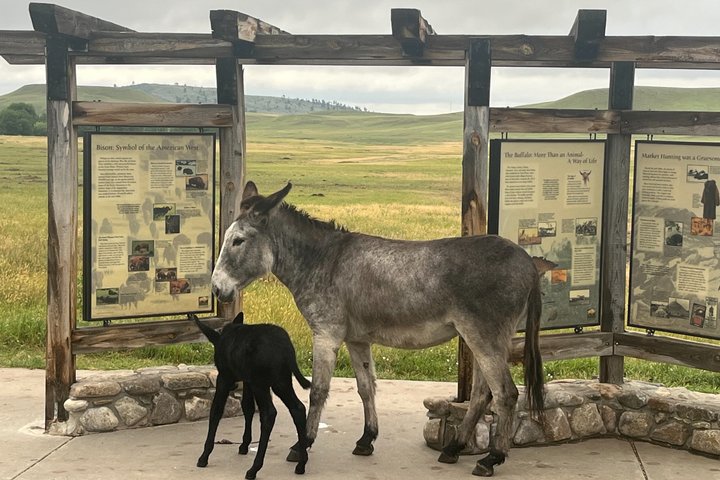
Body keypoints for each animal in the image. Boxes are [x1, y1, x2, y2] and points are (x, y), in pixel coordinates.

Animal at [211, 181, 546, 477]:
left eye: (238, 241)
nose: (216, 289)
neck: (322, 261)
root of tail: (528, 262)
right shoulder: (357, 339)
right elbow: (365, 387)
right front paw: (366, 439)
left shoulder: (326, 335)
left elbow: (318, 390)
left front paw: (303, 444)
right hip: (478, 338)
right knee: (481, 393)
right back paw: (454, 448)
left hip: (484, 336)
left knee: (505, 394)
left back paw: (492, 458)